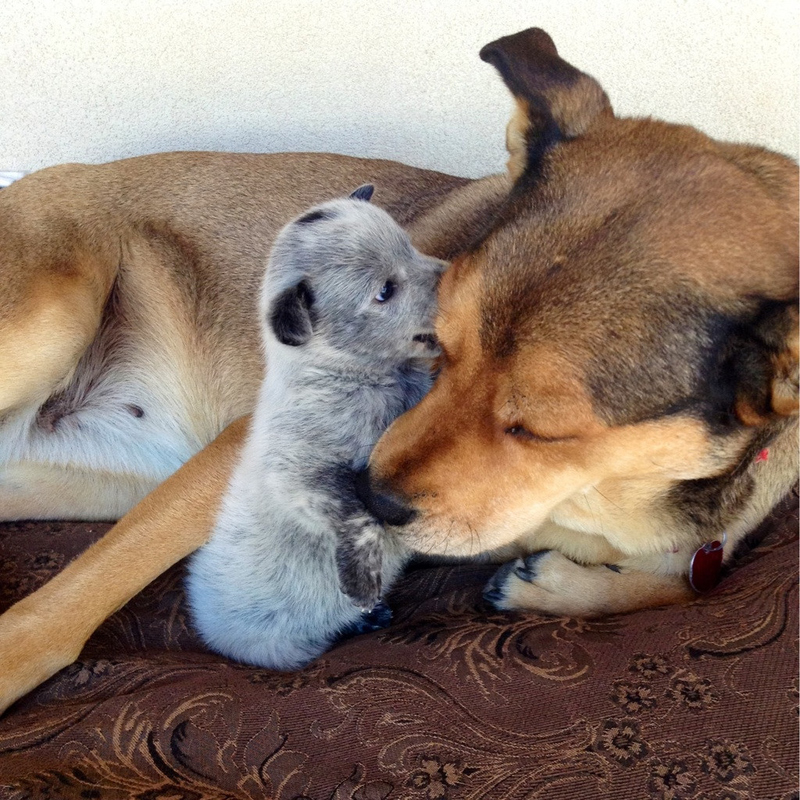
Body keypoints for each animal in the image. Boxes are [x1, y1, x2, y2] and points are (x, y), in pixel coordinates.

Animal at [187, 186, 444, 668]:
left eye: (410, 246)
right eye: (385, 290)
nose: (454, 270)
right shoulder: (303, 474)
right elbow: (359, 516)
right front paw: (363, 579)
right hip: (282, 643)